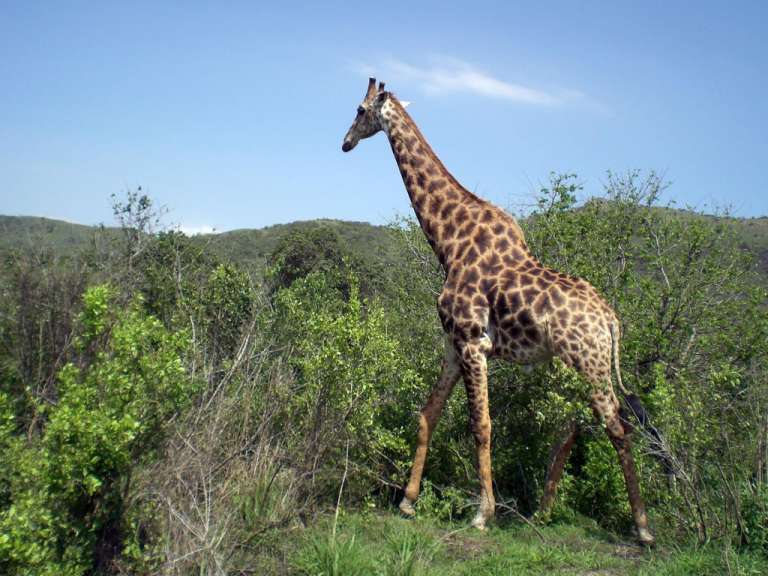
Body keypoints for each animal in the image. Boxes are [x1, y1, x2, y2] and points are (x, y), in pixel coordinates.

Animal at [341, 78, 655, 546]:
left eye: (360, 110)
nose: (344, 142)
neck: (448, 242)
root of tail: (611, 320)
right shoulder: (453, 345)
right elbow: (428, 414)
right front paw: (408, 502)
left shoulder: (474, 343)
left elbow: (482, 424)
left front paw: (482, 513)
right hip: (566, 364)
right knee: (572, 423)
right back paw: (543, 511)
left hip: (592, 362)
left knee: (617, 426)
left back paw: (642, 526)